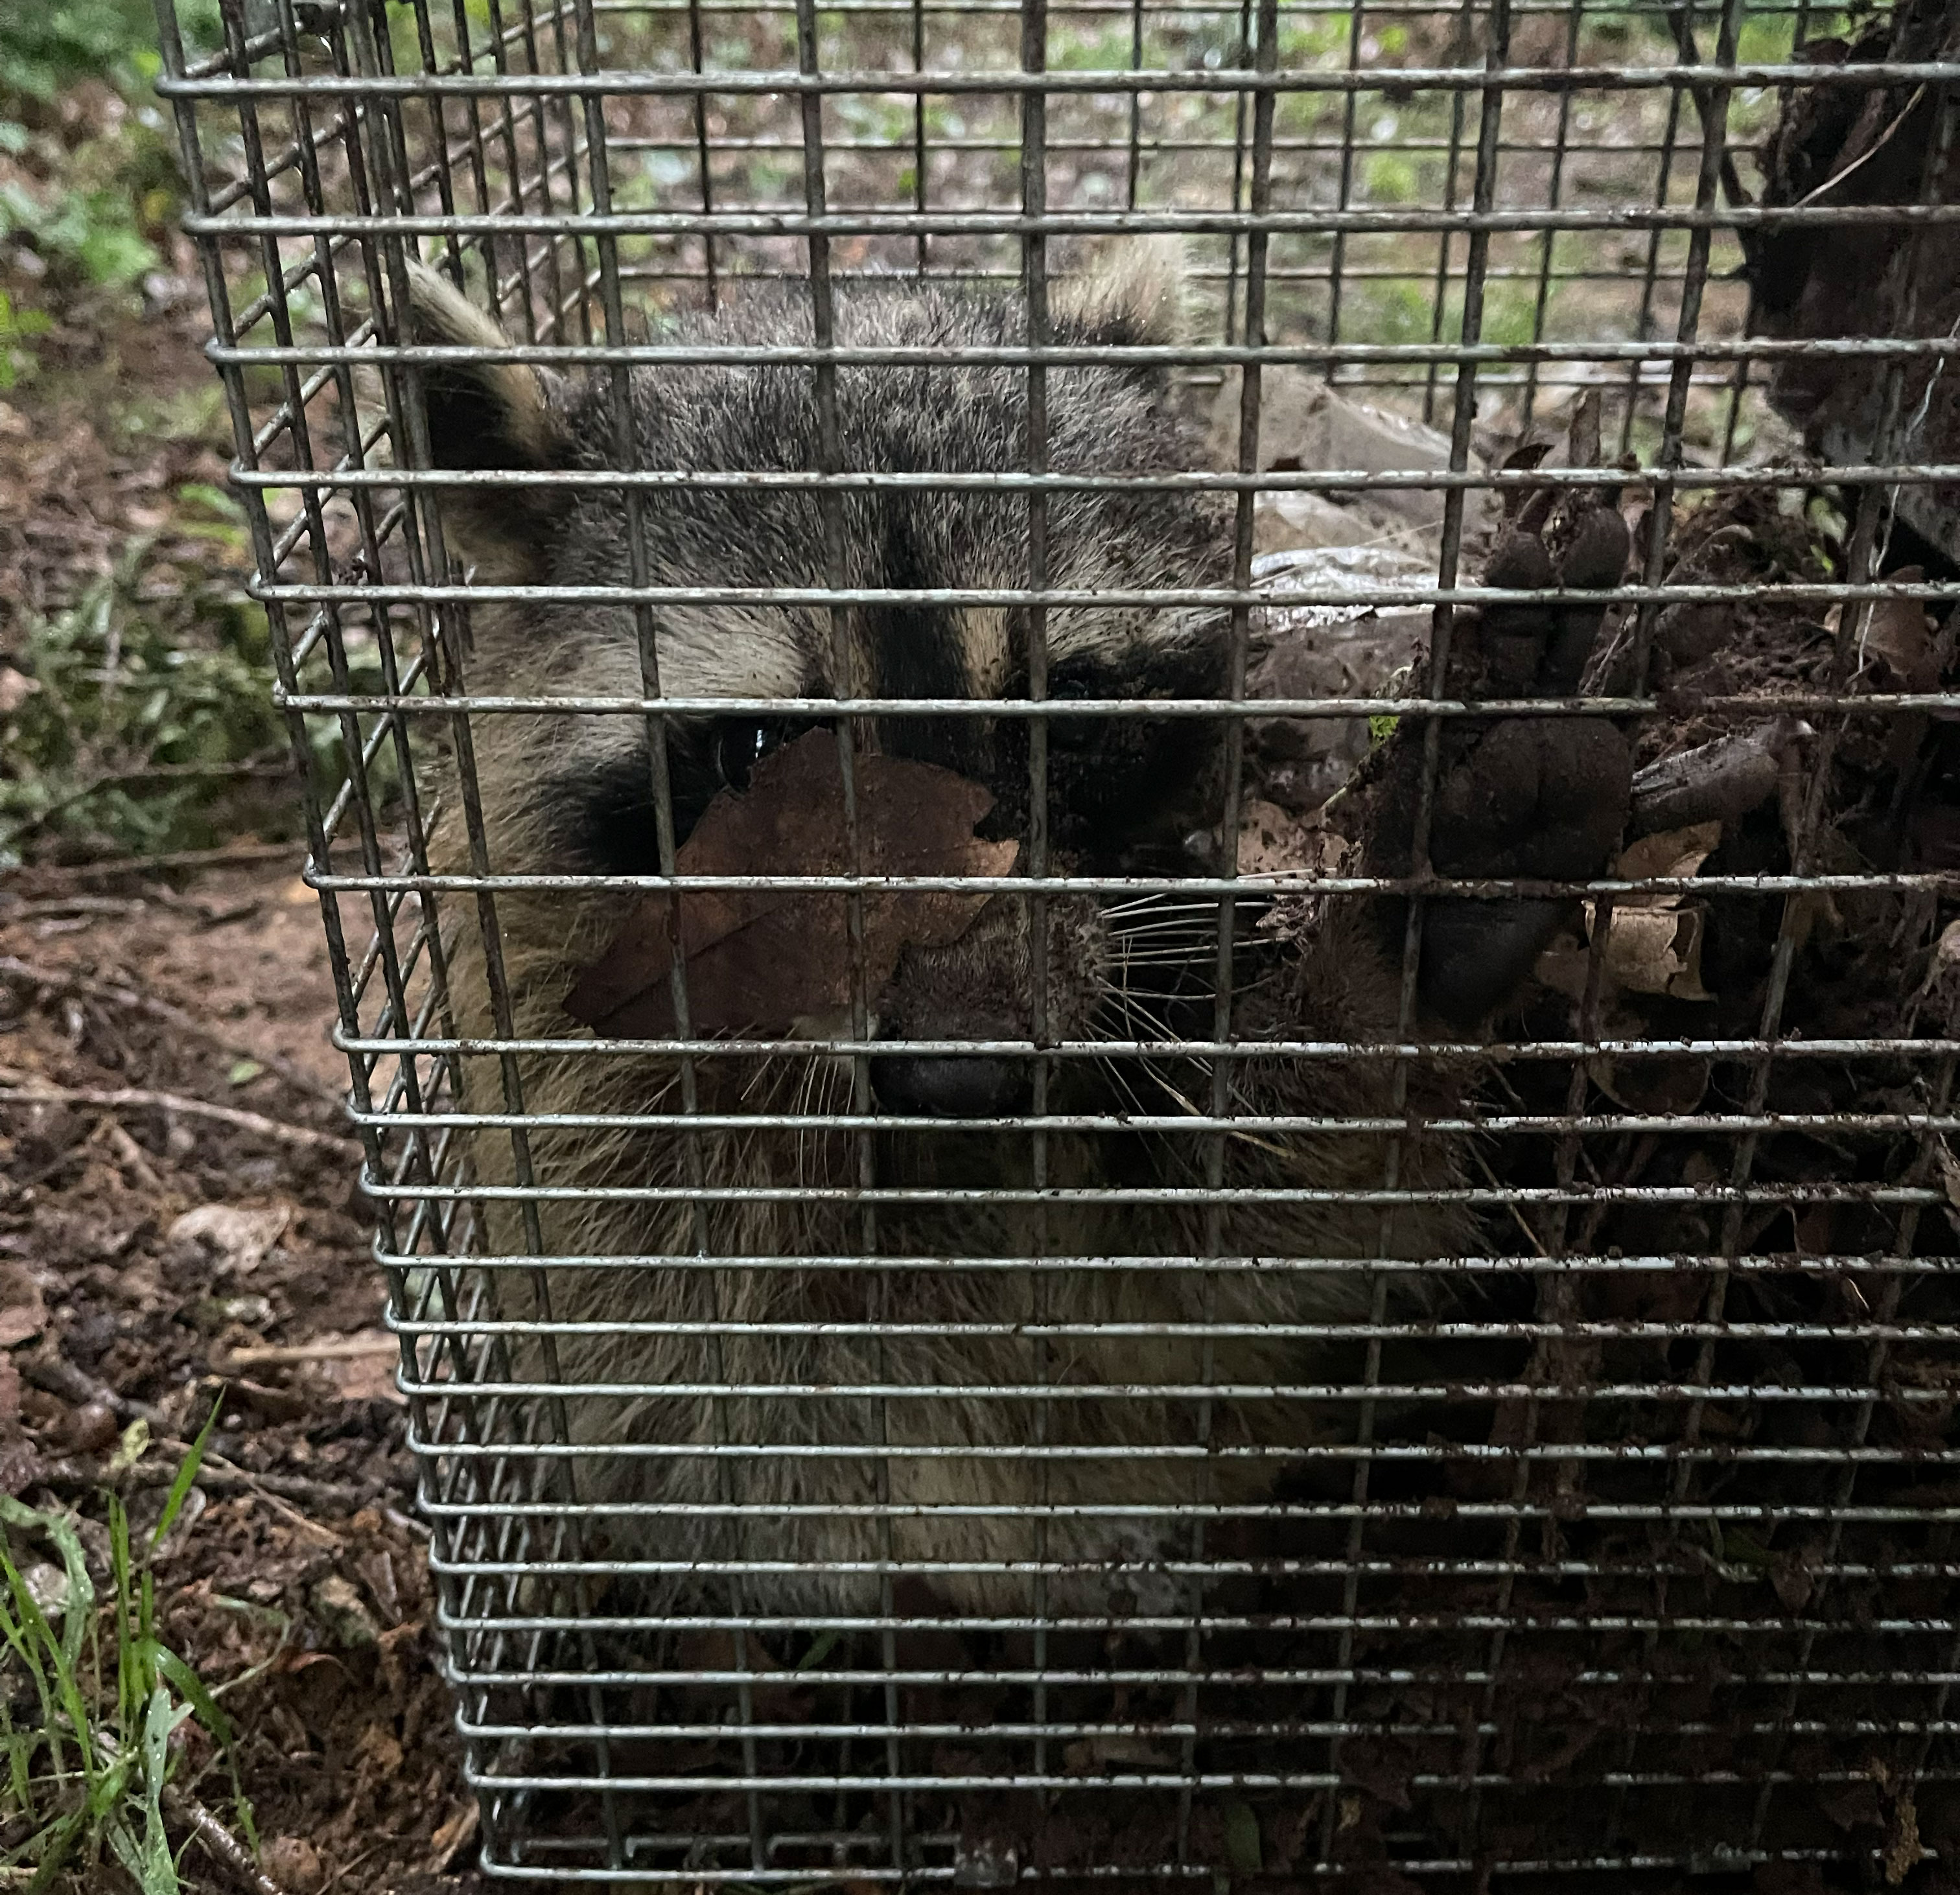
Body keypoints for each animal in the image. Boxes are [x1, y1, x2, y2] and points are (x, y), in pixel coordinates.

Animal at [404, 247, 1630, 1623]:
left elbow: (1211, 1299)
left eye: (1066, 712)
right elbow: (782, 1416)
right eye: (763, 752)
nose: (962, 1070)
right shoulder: (570, 1052)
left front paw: (1380, 985)